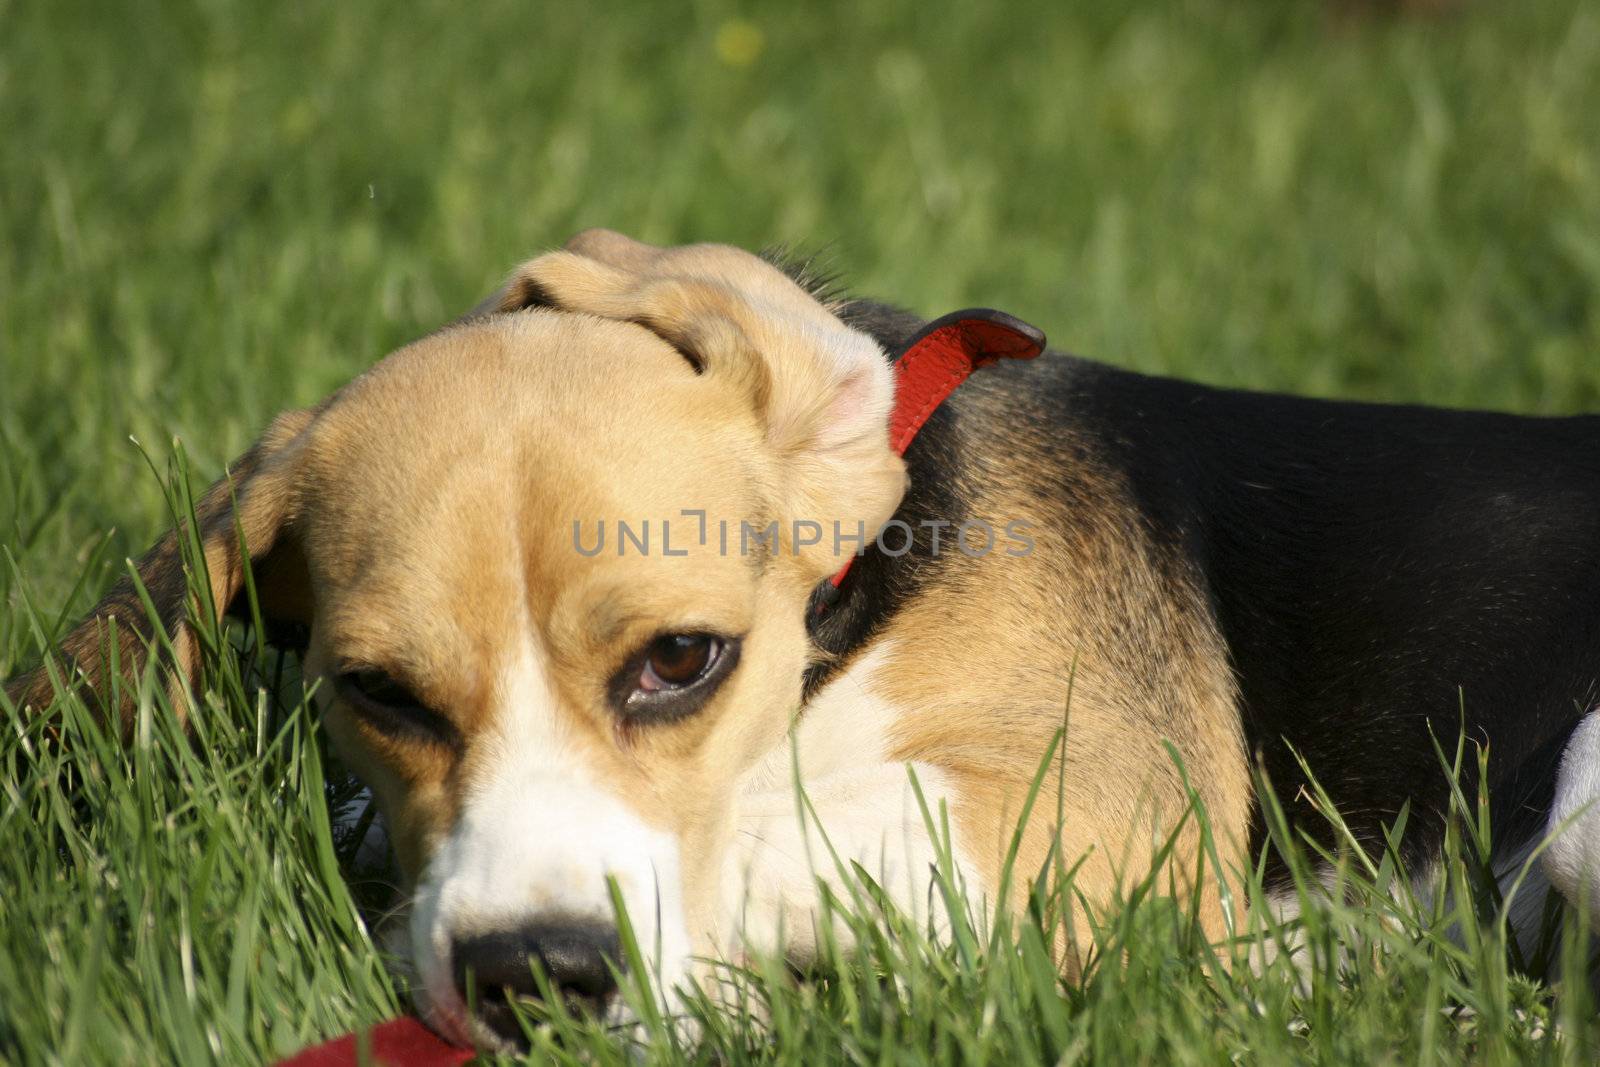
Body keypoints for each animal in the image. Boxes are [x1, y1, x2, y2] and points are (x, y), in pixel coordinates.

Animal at [9, 230, 1600, 1049]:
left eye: (680, 661)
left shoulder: (1093, 827)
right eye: (377, 690)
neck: (849, 624)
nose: (532, 975)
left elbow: (783, 831)